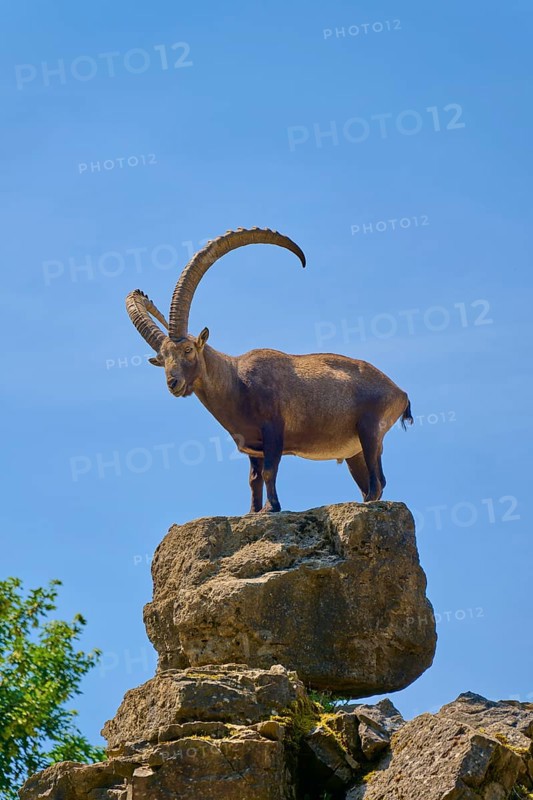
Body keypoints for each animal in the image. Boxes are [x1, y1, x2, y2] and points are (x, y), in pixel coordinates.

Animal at [126, 228, 412, 512]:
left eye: (188, 350)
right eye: (161, 358)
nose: (173, 383)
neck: (236, 381)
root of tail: (400, 392)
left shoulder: (274, 431)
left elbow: (269, 471)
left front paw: (271, 508)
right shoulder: (254, 446)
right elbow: (254, 479)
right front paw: (253, 511)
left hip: (370, 430)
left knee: (377, 481)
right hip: (355, 452)